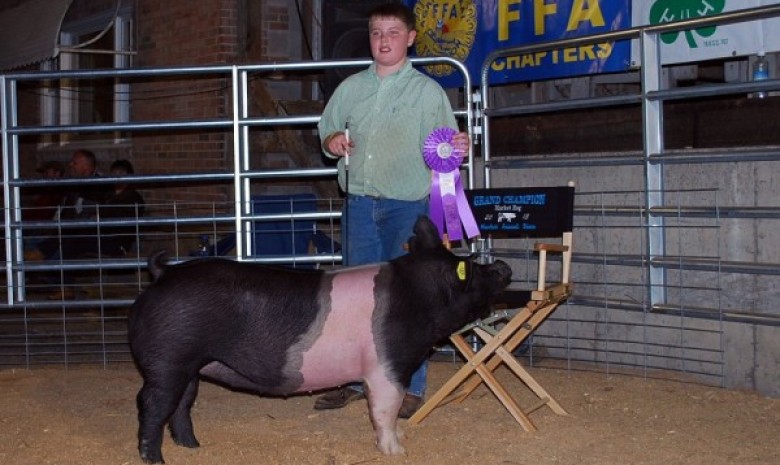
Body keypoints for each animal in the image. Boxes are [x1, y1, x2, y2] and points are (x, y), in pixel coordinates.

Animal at [128, 216, 512, 462]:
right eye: (473, 269)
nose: (503, 266)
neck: (417, 298)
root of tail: (163, 273)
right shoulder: (387, 366)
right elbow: (385, 409)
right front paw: (397, 451)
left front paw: (400, 442)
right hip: (169, 358)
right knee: (152, 403)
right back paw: (155, 459)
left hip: (191, 364)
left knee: (181, 405)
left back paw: (194, 448)